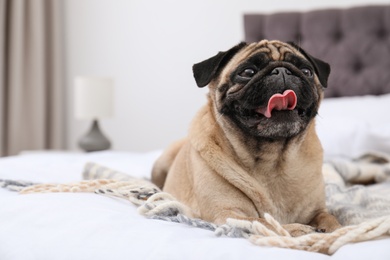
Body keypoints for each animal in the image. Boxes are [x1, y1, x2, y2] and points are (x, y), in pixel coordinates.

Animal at [151, 39, 340, 236]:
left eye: (306, 71)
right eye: (248, 72)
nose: (281, 71)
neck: (273, 159)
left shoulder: (318, 211)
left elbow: (332, 220)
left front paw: (337, 231)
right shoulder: (228, 214)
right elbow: (266, 224)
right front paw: (301, 230)